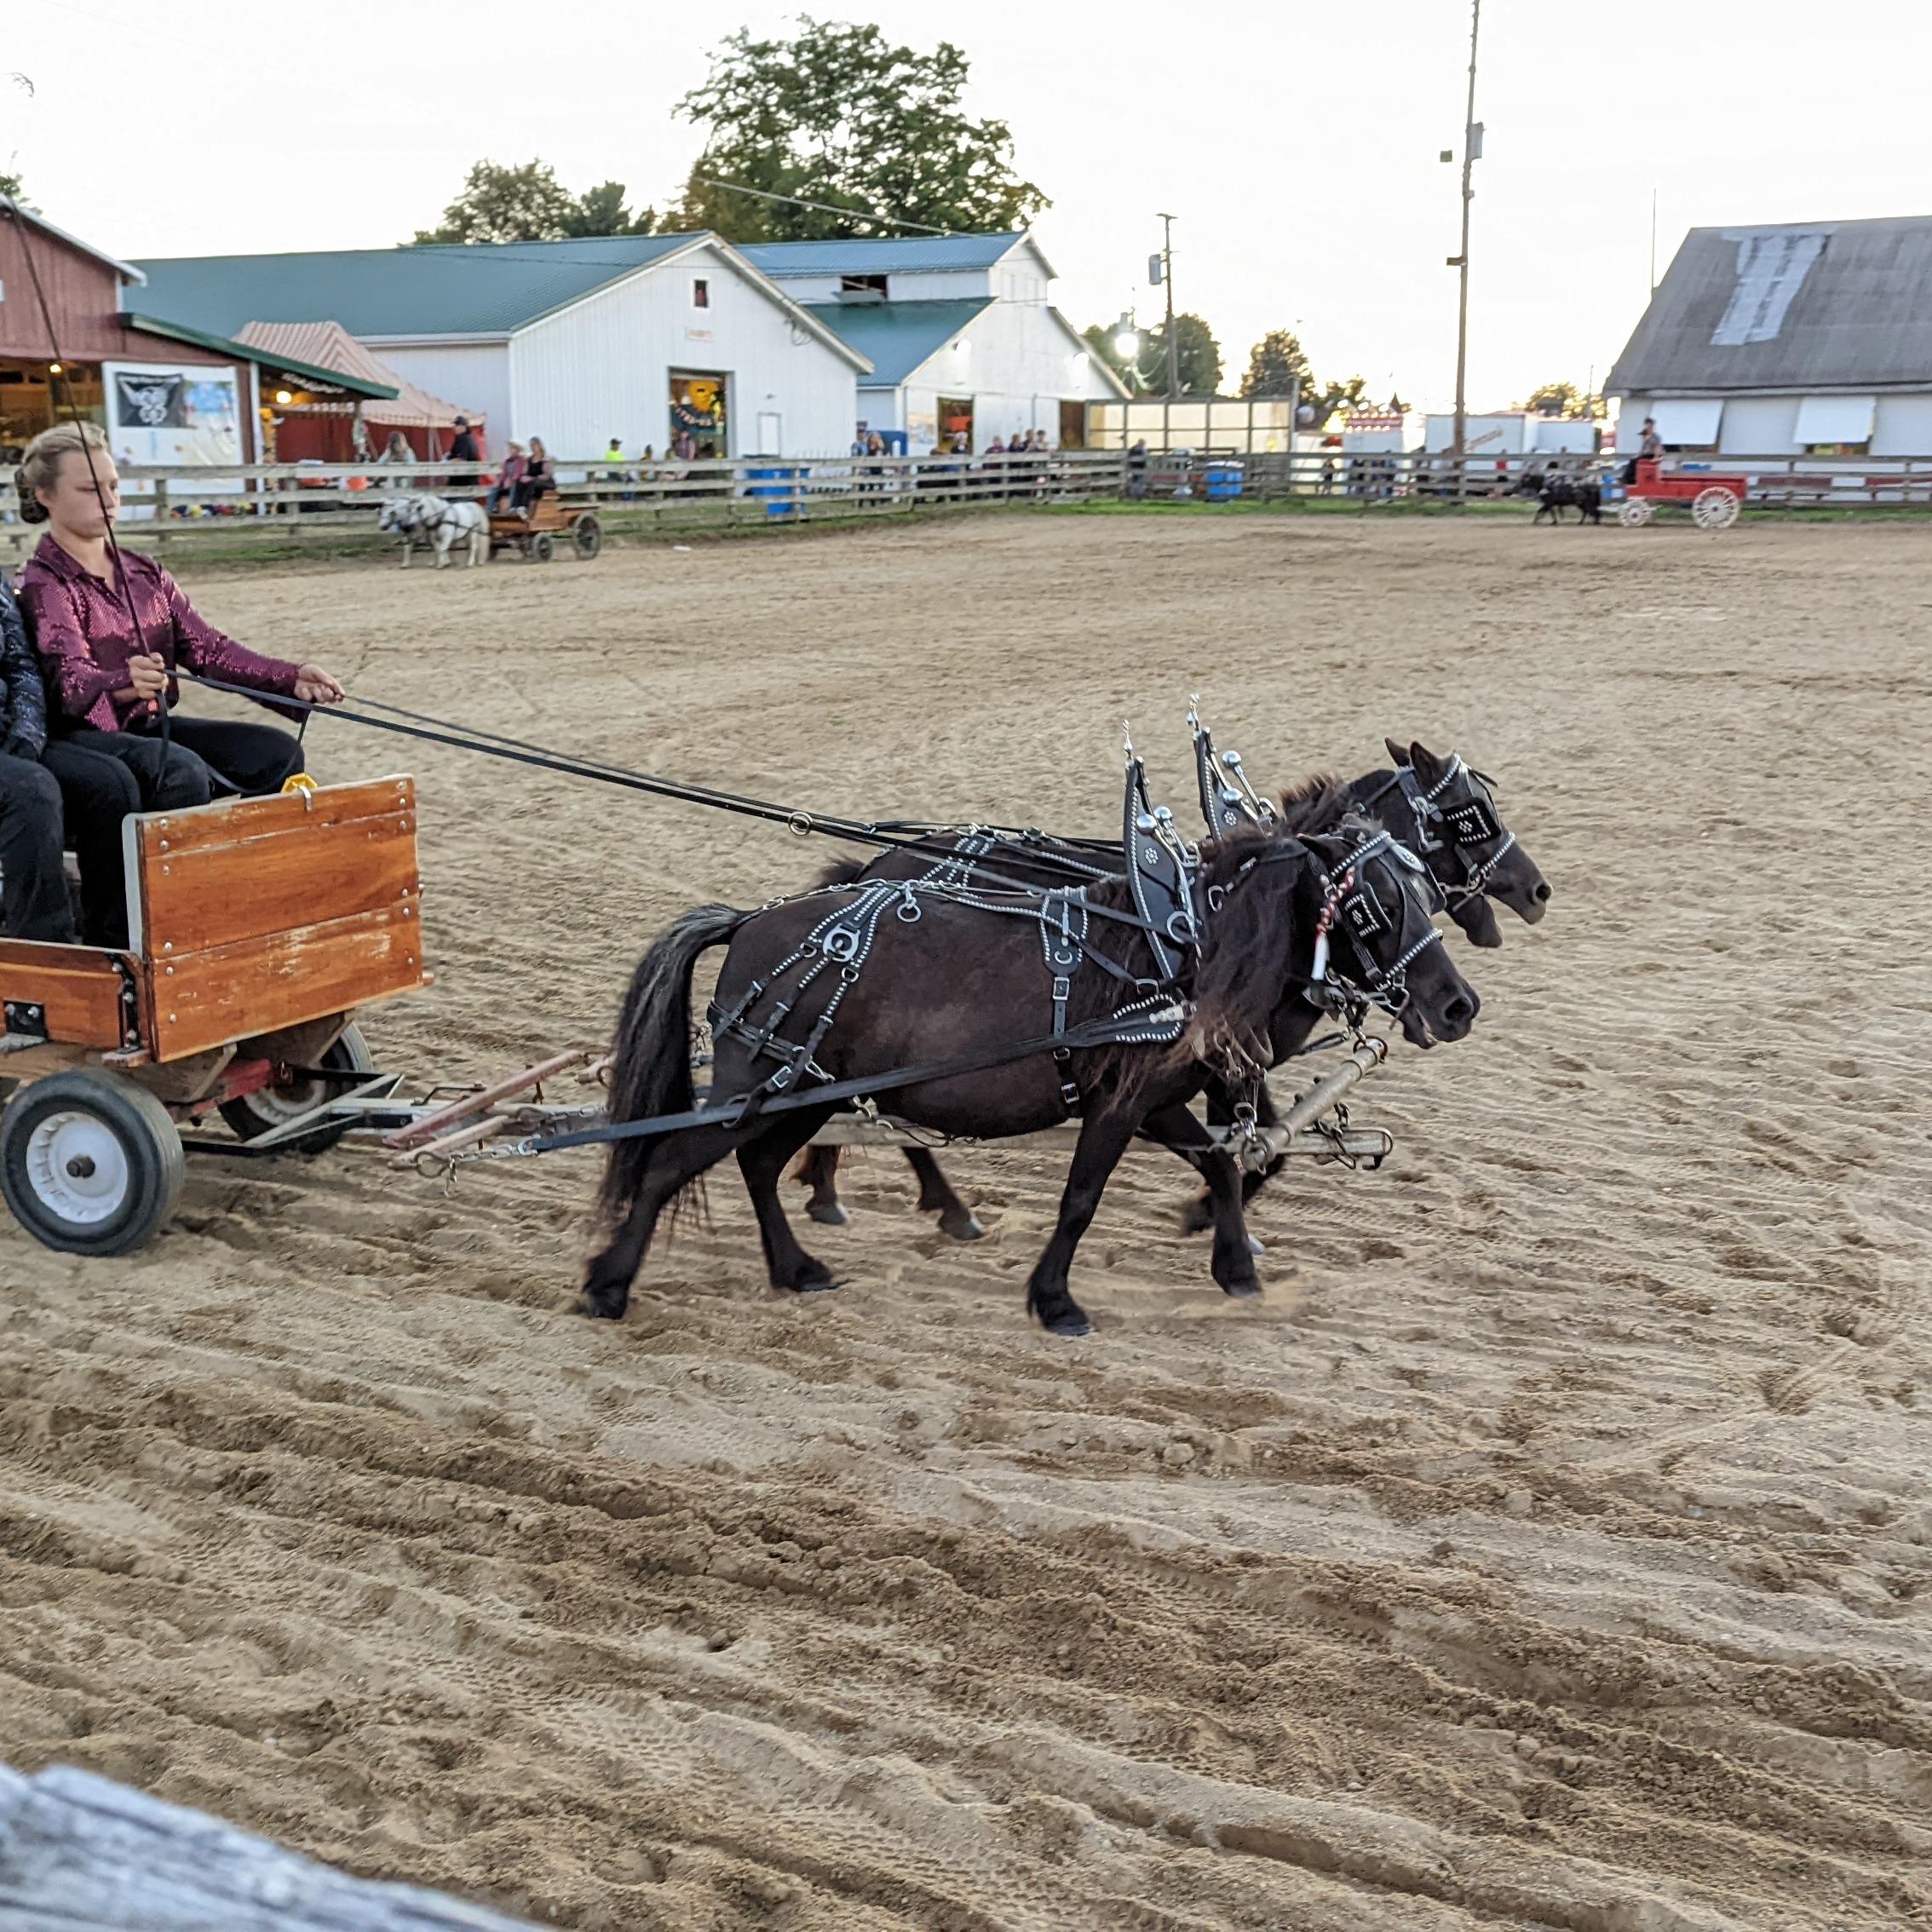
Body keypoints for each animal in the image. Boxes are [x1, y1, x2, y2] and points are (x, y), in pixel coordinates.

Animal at [372, 491, 486, 564]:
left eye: (391, 512)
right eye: (380, 512)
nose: (381, 526)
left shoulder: (421, 533)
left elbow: (436, 547)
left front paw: (441, 561)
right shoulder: (416, 534)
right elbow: (409, 546)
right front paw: (405, 564)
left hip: (472, 531)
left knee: (473, 545)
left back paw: (470, 562)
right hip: (464, 532)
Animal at [579, 808, 1468, 1337]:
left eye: (1422, 888)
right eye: (1374, 906)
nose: (1460, 1005)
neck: (1178, 954)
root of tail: (748, 923)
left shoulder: (1157, 1099)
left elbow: (1220, 1163)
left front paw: (1237, 1269)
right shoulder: (1120, 1103)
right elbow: (1081, 1201)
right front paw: (1056, 1301)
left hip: (800, 1088)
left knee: (761, 1163)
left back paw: (797, 1269)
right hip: (756, 1084)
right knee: (666, 1164)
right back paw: (610, 1286)